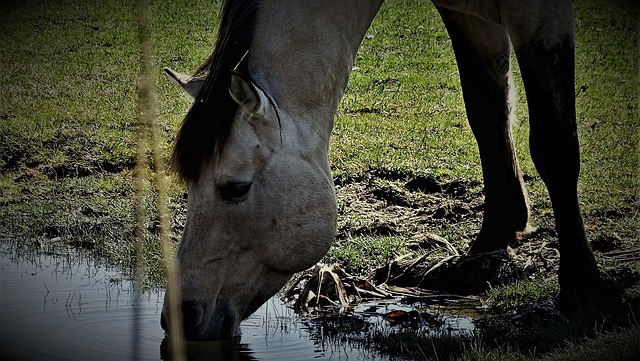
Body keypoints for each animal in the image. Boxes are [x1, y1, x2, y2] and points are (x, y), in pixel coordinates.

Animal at [160, 0, 600, 338]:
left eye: (236, 188)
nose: (179, 318)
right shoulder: (464, 13)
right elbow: (486, 113)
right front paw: (492, 240)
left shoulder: (540, 17)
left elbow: (555, 148)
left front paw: (583, 291)